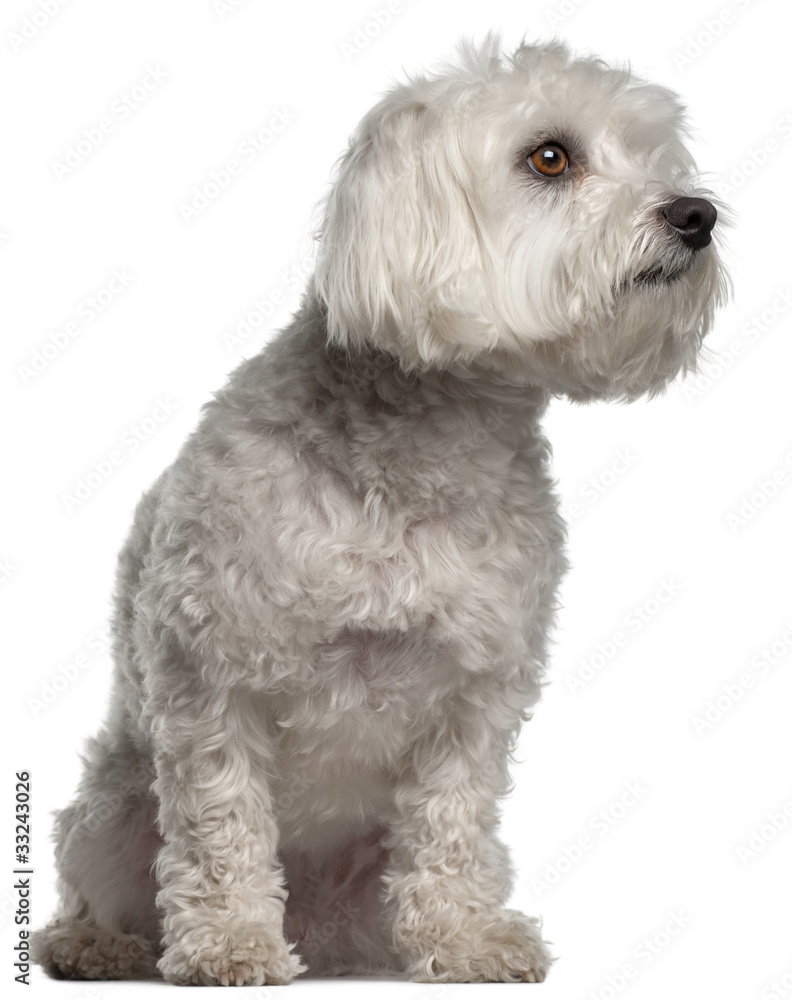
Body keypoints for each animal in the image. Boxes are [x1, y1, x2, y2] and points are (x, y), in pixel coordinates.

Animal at [34, 37, 728, 984]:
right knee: (101, 882)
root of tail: (322, 927)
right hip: (112, 809)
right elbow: (222, 828)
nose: (697, 214)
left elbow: (450, 823)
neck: (421, 458)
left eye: (658, 158)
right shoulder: (212, 678)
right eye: (550, 157)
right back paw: (95, 944)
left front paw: (465, 940)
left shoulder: (474, 697)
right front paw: (231, 943)